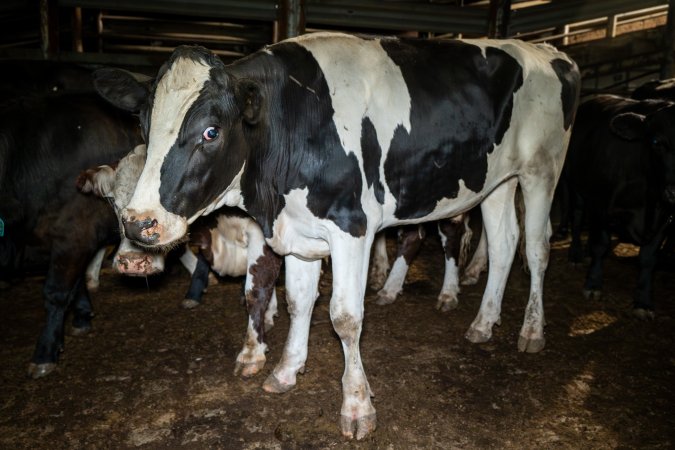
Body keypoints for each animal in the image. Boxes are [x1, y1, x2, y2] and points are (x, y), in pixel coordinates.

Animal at [93, 34, 580, 440]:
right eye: (144, 126)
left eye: (210, 131)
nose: (139, 223)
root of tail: (547, 52)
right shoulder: (298, 231)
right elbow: (297, 302)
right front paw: (286, 370)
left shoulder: (352, 227)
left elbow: (345, 317)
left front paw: (357, 406)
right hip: (496, 182)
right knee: (503, 244)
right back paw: (482, 322)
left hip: (542, 171)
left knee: (536, 249)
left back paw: (531, 329)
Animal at [564, 94, 675, 318]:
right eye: (656, 141)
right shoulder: (601, 206)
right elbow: (601, 244)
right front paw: (593, 284)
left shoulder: (665, 218)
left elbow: (649, 258)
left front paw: (643, 301)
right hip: (575, 185)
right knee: (578, 217)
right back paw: (576, 255)